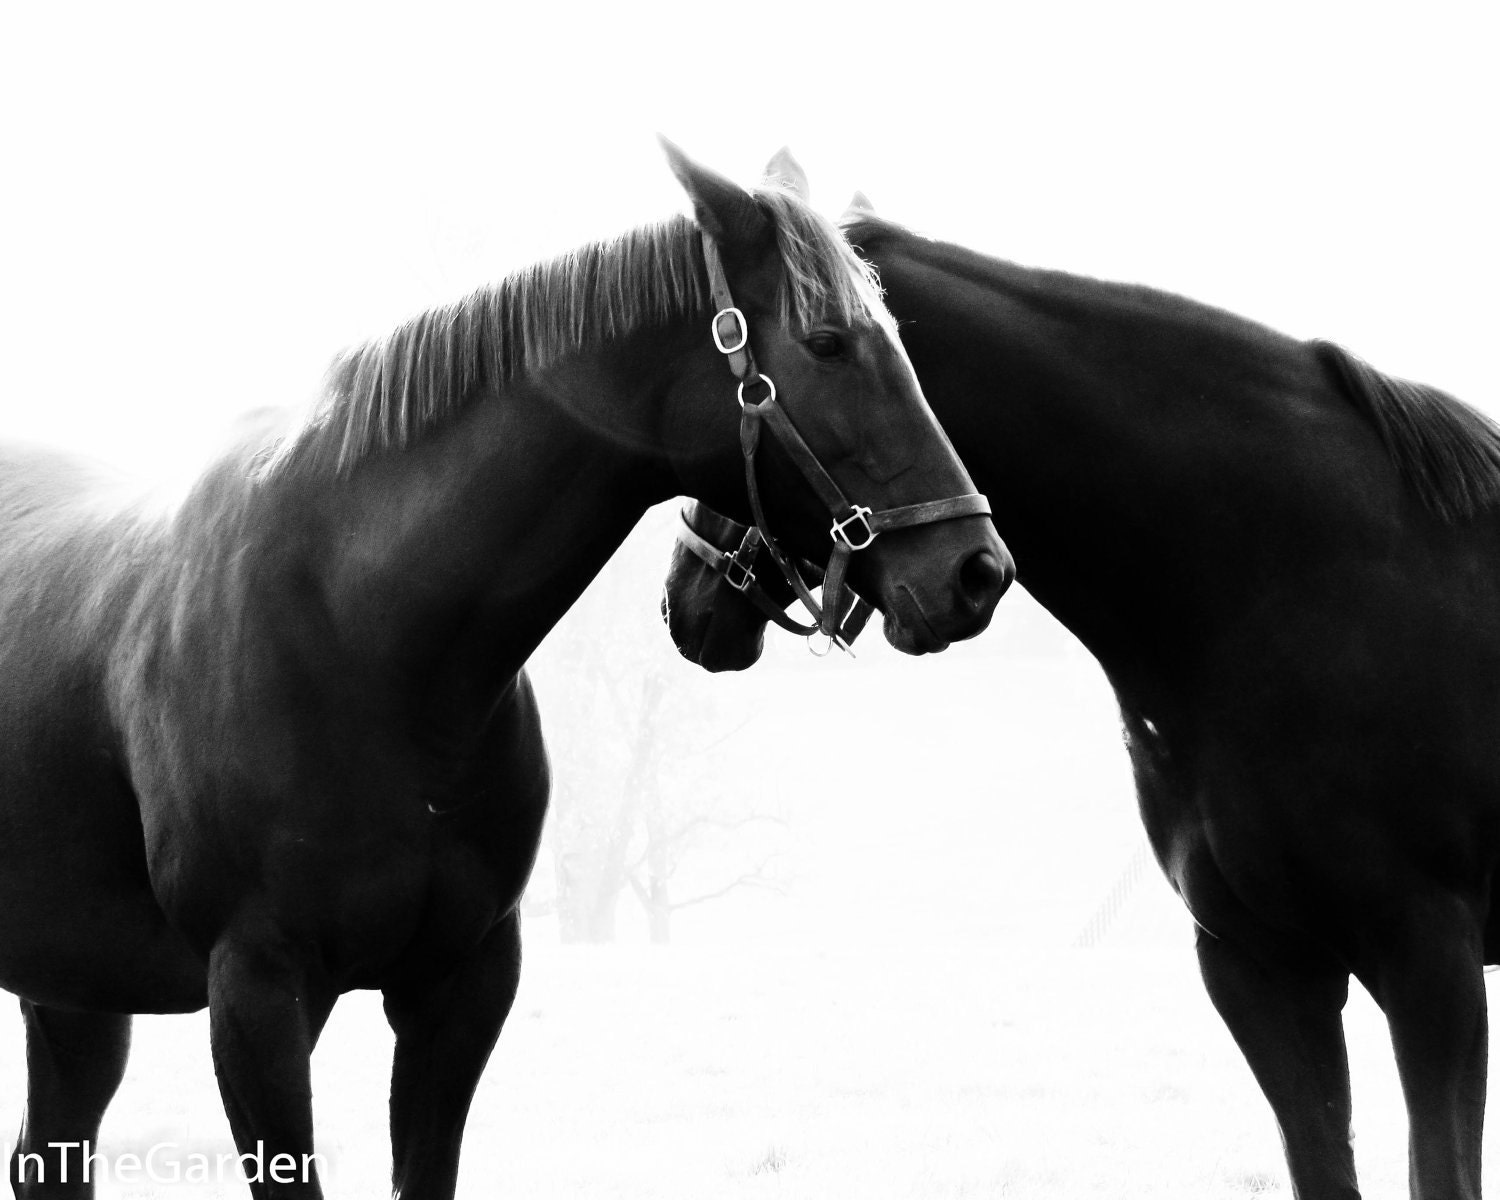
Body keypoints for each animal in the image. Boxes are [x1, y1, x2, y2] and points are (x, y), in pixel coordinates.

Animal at [0, 142, 1013, 1200]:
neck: (368, 646)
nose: (975, 571)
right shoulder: (258, 994)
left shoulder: (462, 988)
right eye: (826, 342)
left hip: (74, 990)